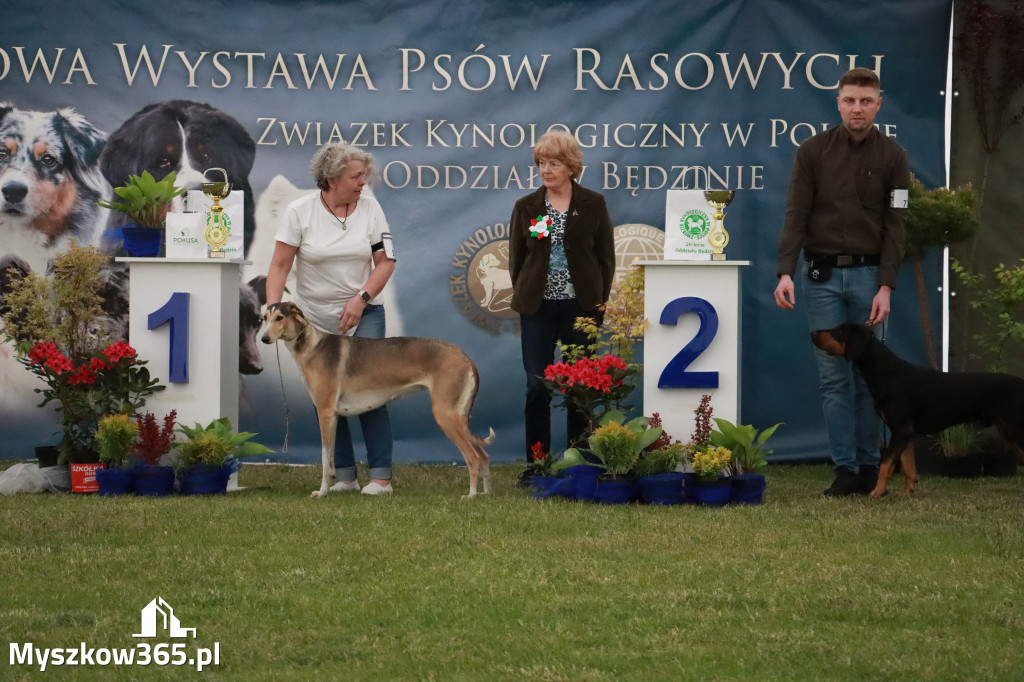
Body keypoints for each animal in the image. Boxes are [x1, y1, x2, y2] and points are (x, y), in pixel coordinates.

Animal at [260, 301, 491, 497]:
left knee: (473, 458)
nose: (264, 339)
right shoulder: (334, 416)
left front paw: (322, 492)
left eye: (280, 317)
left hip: (446, 416)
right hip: (460, 419)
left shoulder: (325, 414)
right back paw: (486, 493)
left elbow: (326, 462)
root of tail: (464, 357)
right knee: (484, 456)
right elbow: (331, 460)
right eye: (265, 318)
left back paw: (471, 495)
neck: (312, 345)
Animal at [806, 321, 1024, 497]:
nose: (812, 333)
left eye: (840, 331)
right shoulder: (904, 434)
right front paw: (906, 492)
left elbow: (886, 464)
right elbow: (908, 466)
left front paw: (877, 492)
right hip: (1008, 433)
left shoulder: (901, 430)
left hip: (1016, 430)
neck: (887, 373)